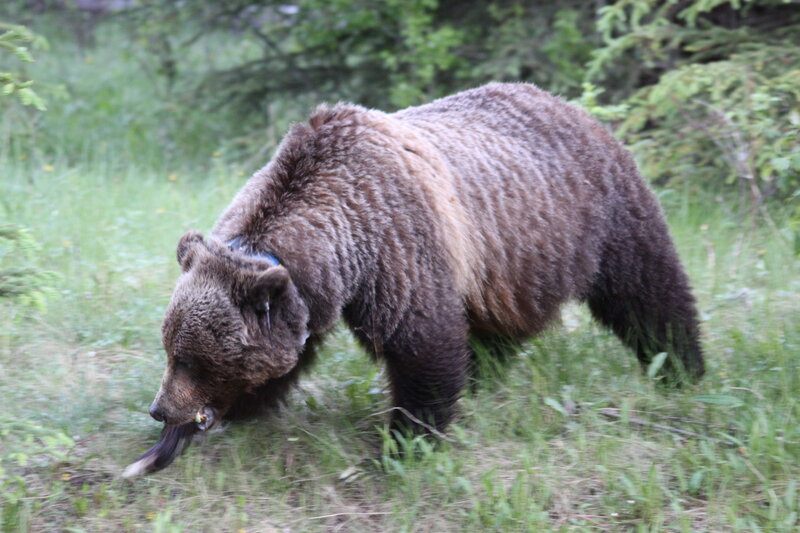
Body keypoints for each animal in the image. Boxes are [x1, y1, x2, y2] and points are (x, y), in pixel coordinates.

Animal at [122, 82, 703, 478]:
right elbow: (286, 359)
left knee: (648, 290)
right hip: (509, 267)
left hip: (599, 215)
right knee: (498, 329)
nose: (160, 409)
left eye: (193, 358)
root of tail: (572, 105)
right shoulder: (312, 295)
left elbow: (422, 345)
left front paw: (402, 444)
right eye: (172, 348)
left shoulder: (398, 247)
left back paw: (683, 368)